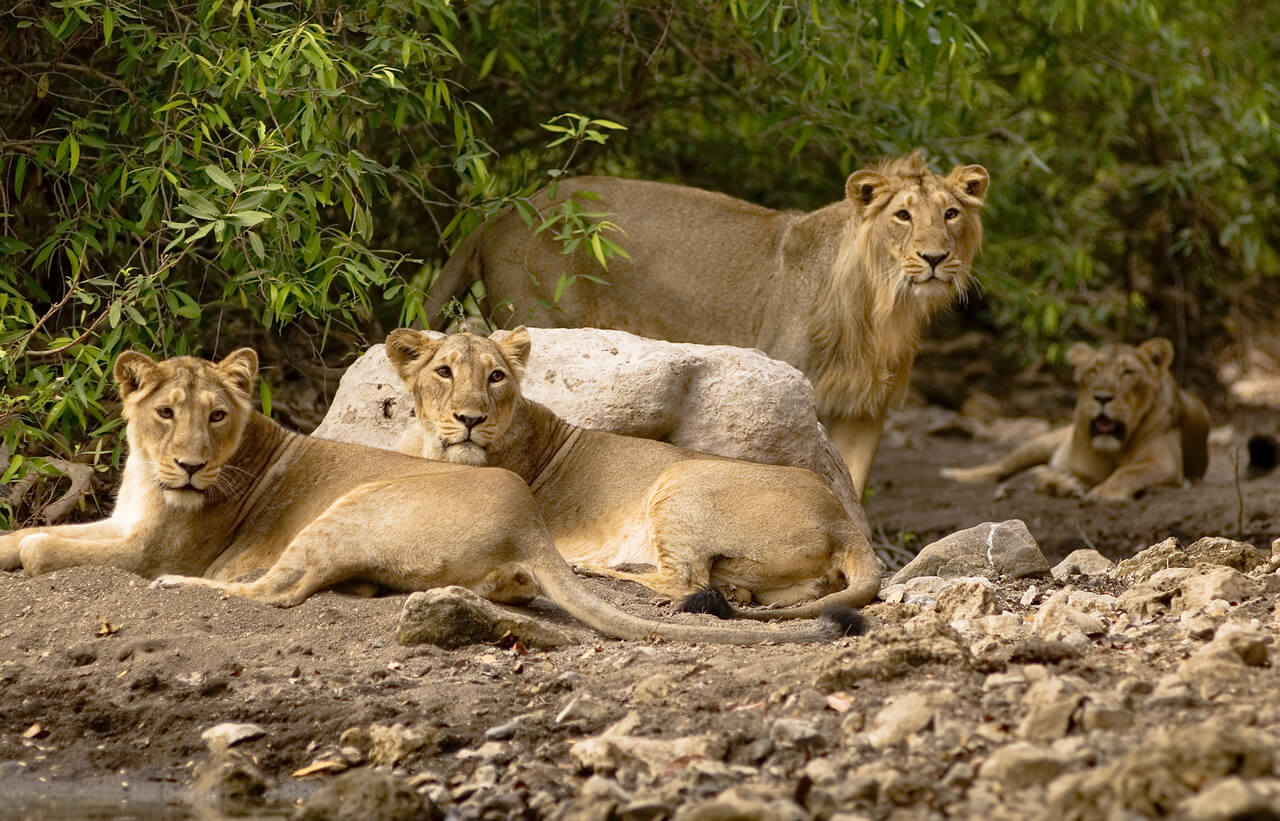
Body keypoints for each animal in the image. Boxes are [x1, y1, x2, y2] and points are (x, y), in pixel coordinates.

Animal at [2, 348, 860, 642]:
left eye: (216, 414)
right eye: (165, 412)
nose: (186, 465)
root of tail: (523, 521)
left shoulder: (146, 544)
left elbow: (47, 544)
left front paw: (25, 556)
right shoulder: (122, 518)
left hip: (353, 507)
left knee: (278, 590)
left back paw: (190, 589)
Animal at [384, 326, 875, 619]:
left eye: (496, 377)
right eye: (444, 372)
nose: (470, 419)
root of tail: (843, 522)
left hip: (682, 477)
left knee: (682, 579)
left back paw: (593, 566)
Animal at [424, 150, 983, 496]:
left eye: (951, 214)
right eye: (903, 216)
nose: (935, 258)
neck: (882, 307)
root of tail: (498, 215)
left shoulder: (866, 410)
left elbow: (857, 487)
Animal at [942, 338, 1208, 499]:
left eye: (1128, 372)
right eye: (1093, 370)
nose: (1102, 397)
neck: (1114, 449)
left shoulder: (1165, 463)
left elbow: (1129, 472)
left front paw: (1103, 492)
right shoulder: (1081, 465)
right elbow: (1050, 477)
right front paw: (1069, 485)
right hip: (1039, 444)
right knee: (1000, 467)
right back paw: (958, 475)